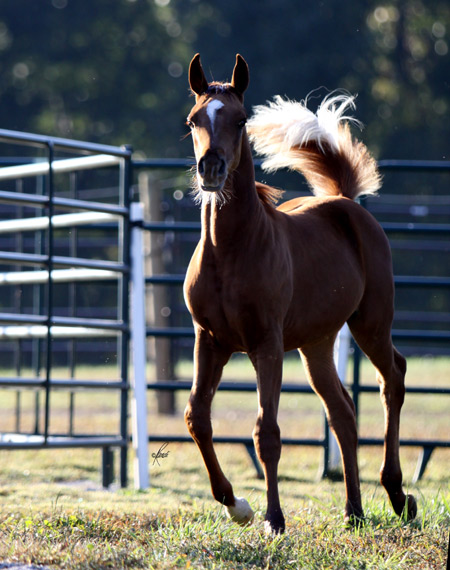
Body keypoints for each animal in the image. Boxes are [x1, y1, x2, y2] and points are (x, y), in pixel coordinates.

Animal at [182, 53, 414, 532]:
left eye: (240, 120)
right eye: (194, 119)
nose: (211, 169)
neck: (230, 252)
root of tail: (344, 201)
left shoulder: (266, 344)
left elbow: (267, 432)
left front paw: (273, 518)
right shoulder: (208, 340)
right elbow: (198, 417)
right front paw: (236, 505)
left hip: (371, 322)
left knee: (393, 378)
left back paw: (398, 494)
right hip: (316, 343)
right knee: (342, 410)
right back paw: (354, 511)